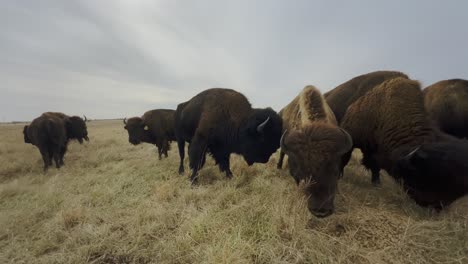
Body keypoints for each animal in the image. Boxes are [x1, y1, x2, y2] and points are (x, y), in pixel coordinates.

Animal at [340, 77, 468, 209]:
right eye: (421, 177)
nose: (436, 207)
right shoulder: (352, 136)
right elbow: (345, 158)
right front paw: (340, 177)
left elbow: (375, 167)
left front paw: (377, 184)